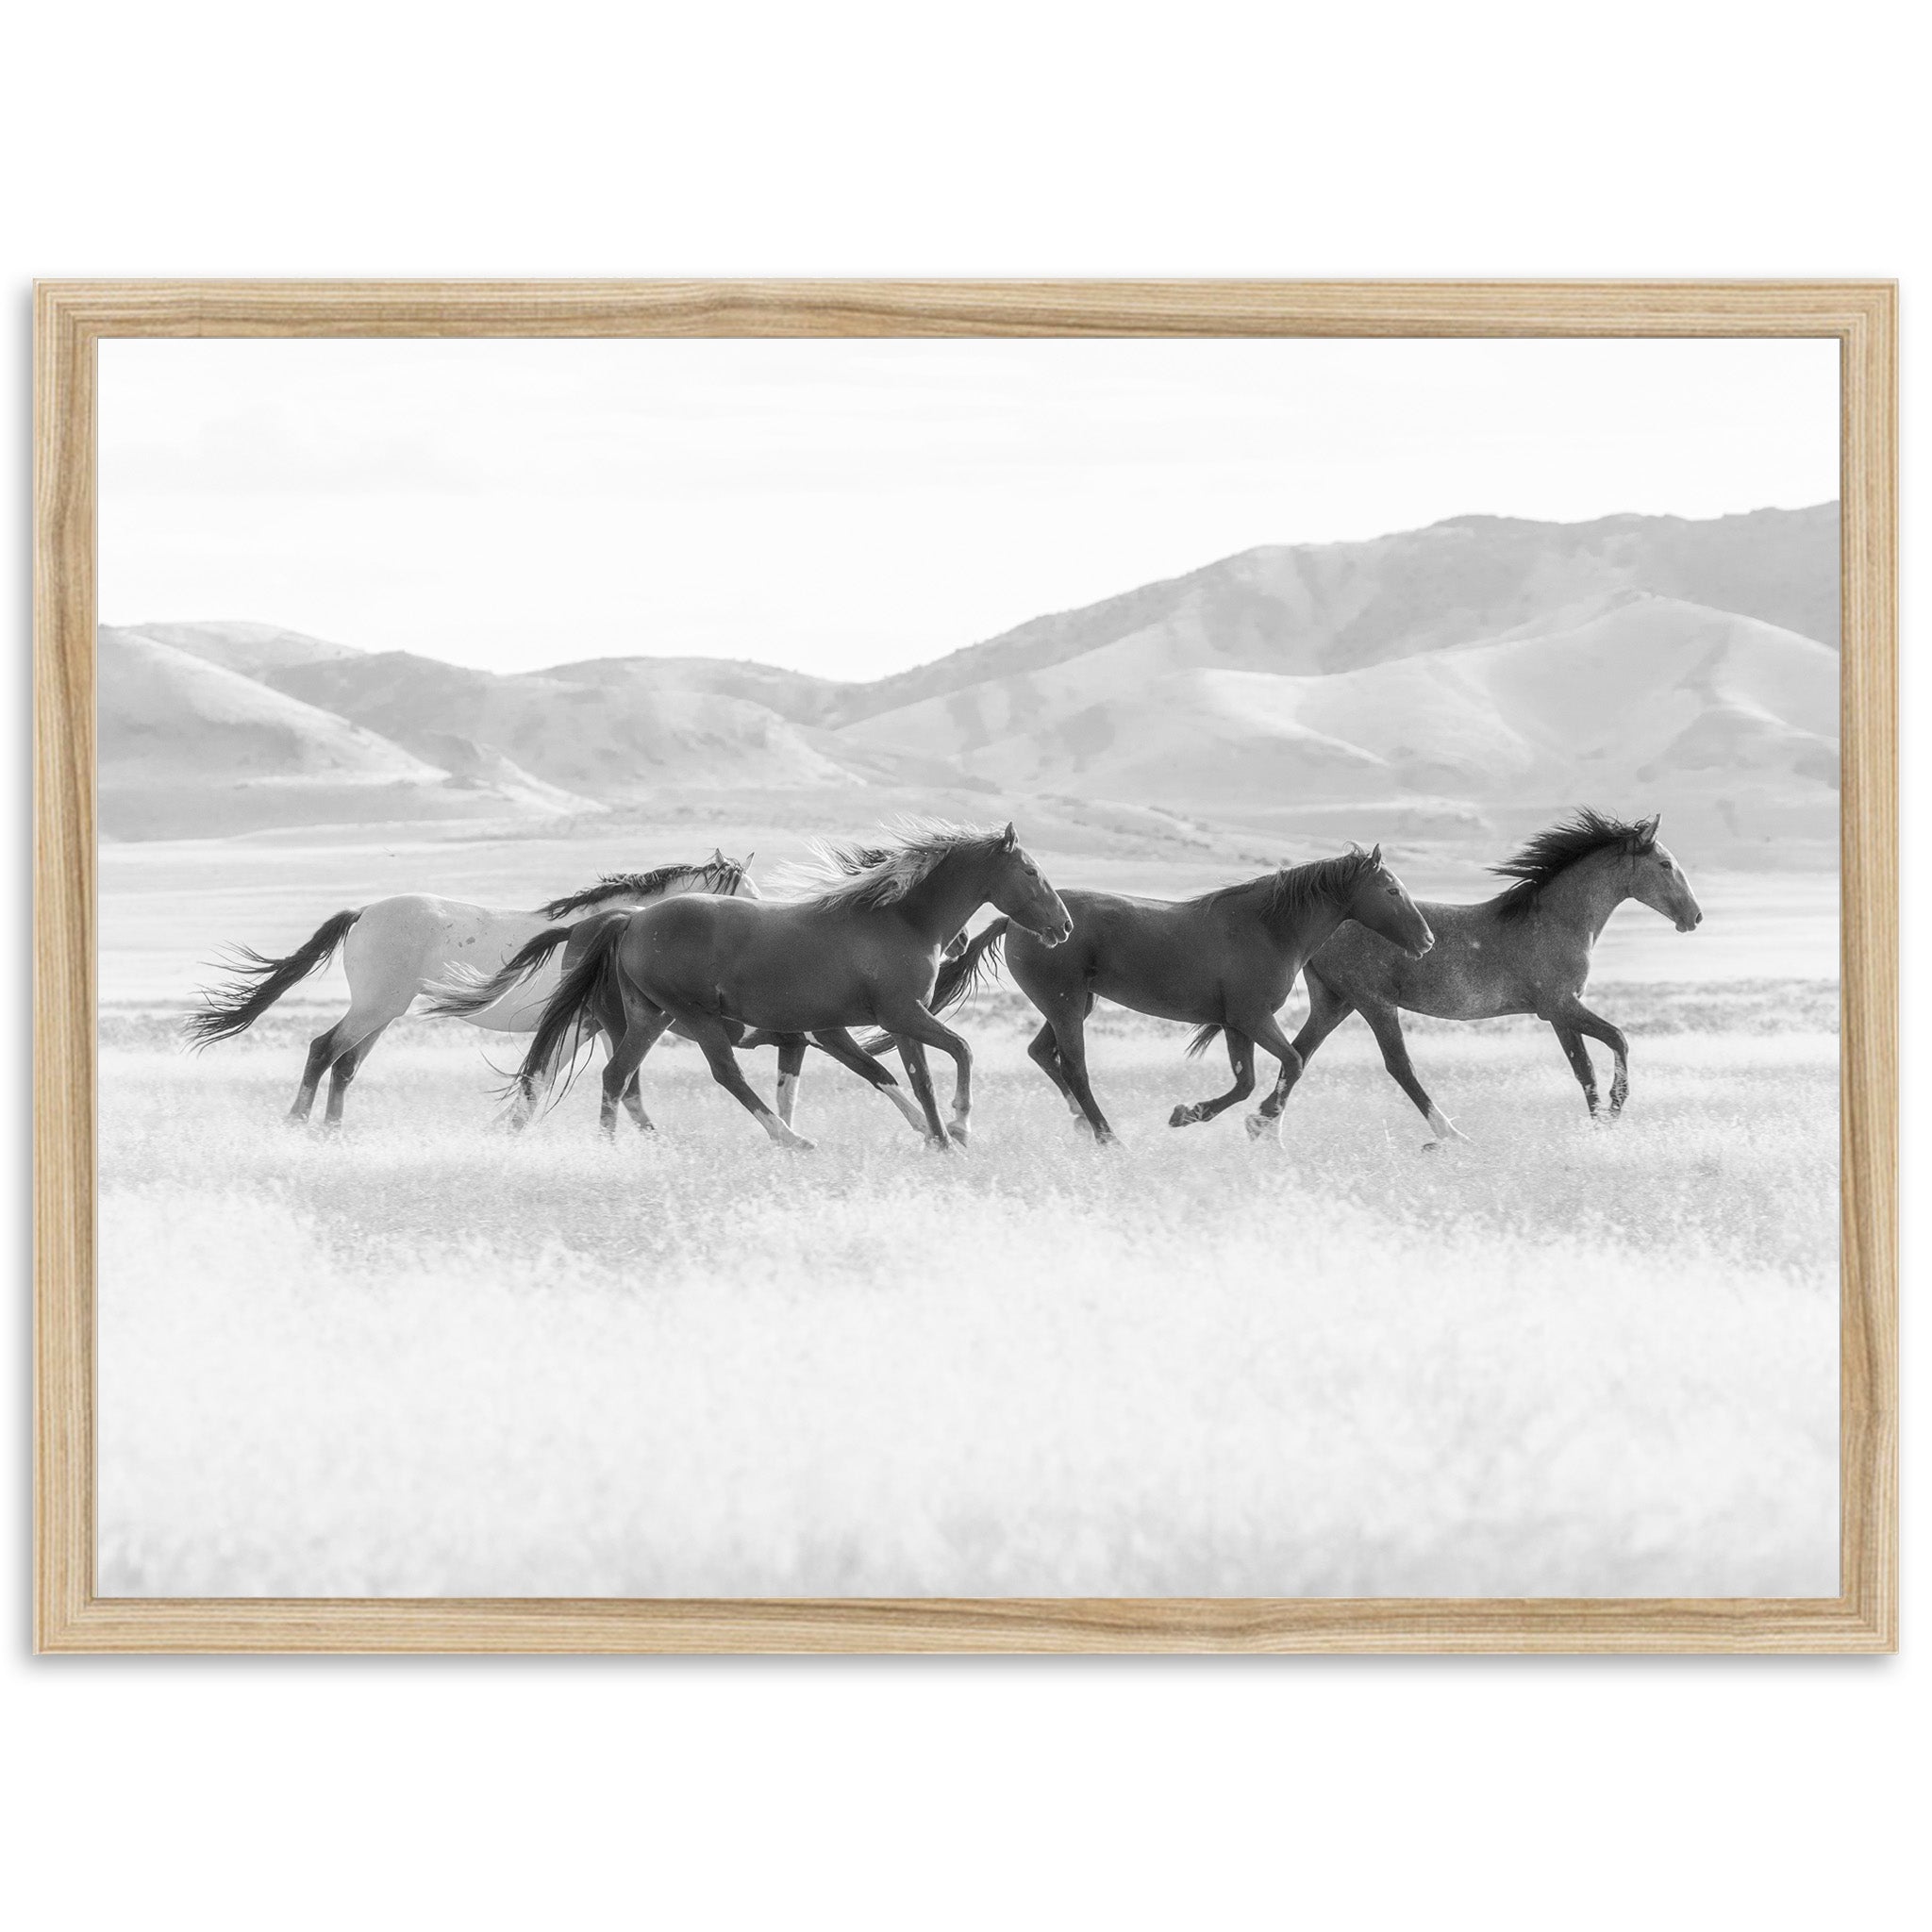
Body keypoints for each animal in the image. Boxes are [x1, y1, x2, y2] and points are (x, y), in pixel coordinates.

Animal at [182, 850, 753, 1128]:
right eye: (743, 892)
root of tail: (364, 911)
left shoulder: (593, 1026)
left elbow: (590, 1080)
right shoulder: (581, 1025)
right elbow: (547, 1078)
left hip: (383, 1013)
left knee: (344, 1064)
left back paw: (332, 1132)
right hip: (375, 1008)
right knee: (324, 1050)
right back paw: (298, 1124)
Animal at [463, 819, 1074, 1143]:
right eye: (1031, 872)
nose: (1064, 926)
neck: (899, 920)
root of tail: (630, 919)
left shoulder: (855, 1027)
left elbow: (898, 1077)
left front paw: (936, 1137)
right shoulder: (900, 1016)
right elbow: (958, 1053)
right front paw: (958, 1129)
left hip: (648, 1017)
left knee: (617, 1076)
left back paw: (614, 1147)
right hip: (693, 1017)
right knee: (722, 1074)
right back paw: (789, 1140)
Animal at [927, 838, 1444, 1136]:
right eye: (1393, 891)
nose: (1427, 940)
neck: (1269, 927)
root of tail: (1017, 923)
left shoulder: (1236, 1023)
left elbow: (1245, 1081)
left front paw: (1189, 1113)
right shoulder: (1253, 1017)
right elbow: (1292, 1064)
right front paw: (1255, 1119)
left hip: (1073, 1005)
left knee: (1043, 1054)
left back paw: (1081, 1122)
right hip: (1067, 1005)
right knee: (1074, 1067)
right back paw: (1106, 1135)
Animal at [1282, 808, 1707, 1136]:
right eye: (1665, 864)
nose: (1695, 917)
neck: (1559, 920)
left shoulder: (1559, 1014)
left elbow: (1584, 1070)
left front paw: (1598, 1127)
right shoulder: (1560, 1005)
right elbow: (1618, 1039)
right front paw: (1615, 1111)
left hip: (1335, 1003)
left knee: (1298, 1056)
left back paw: (1269, 1132)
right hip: (1374, 1004)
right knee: (1399, 1066)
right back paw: (1450, 1136)